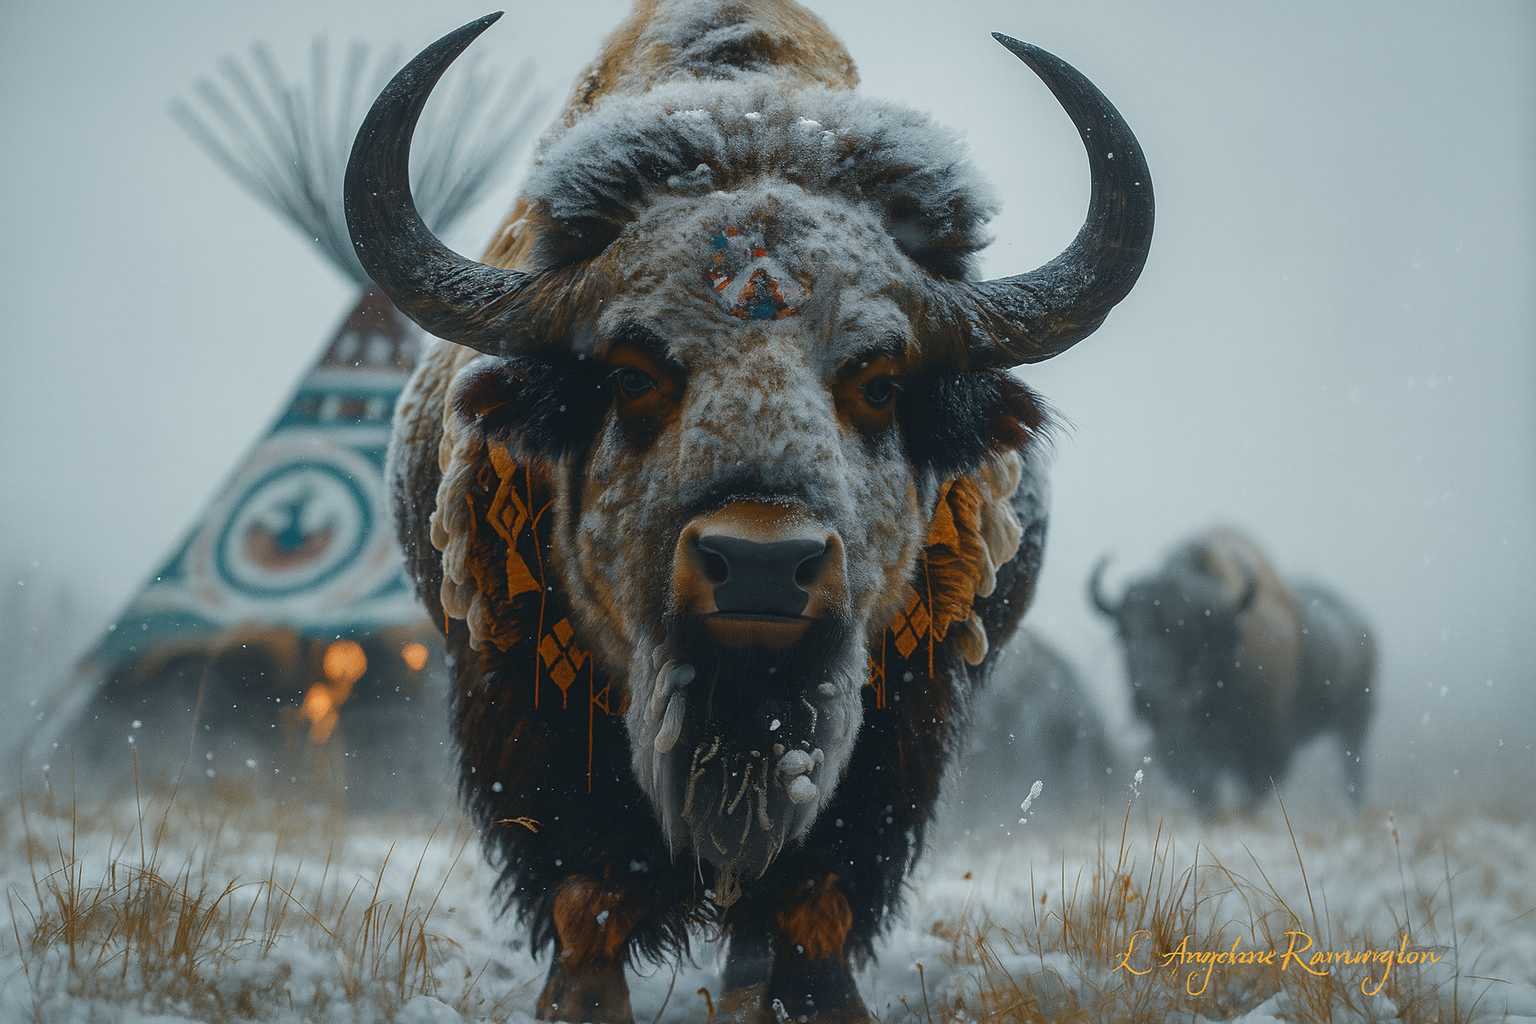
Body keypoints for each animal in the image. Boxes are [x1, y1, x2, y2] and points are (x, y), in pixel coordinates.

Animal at [344, 3, 1153, 1020]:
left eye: (880, 380)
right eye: (630, 370)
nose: (763, 565)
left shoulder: (892, 722)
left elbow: (818, 894)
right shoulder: (525, 708)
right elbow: (588, 892)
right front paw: (578, 1002)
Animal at [1090, 528, 1376, 817]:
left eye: (1193, 633)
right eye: (1123, 633)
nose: (1156, 692)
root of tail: (1363, 625)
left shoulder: (1265, 746)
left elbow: (1253, 786)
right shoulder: (1175, 744)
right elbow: (1200, 784)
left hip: (1356, 718)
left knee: (1353, 765)